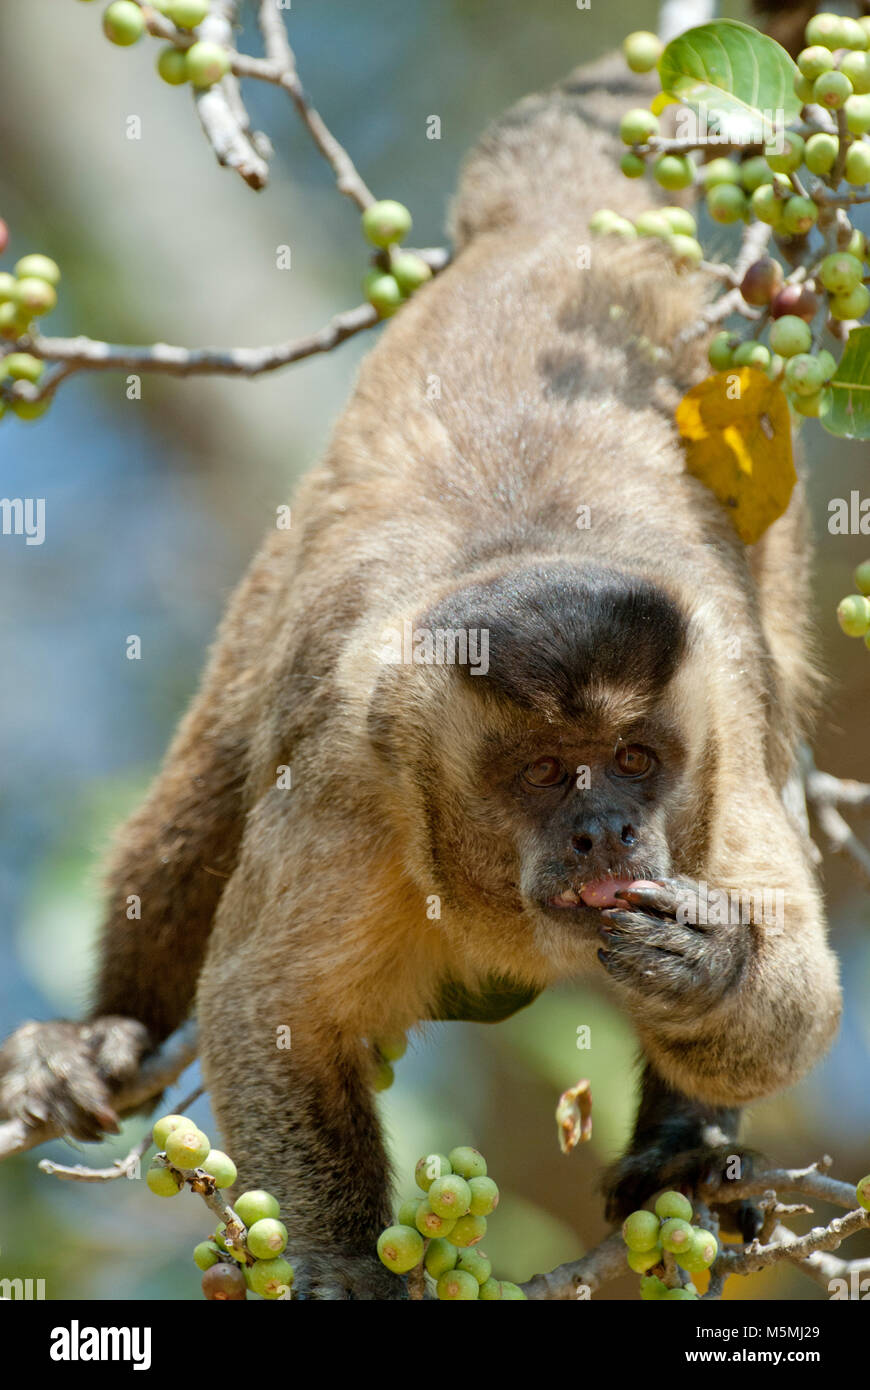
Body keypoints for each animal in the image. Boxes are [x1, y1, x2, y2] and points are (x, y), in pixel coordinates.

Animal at [0, 27, 839, 1295]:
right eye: (545, 774)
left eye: (637, 762)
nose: (607, 830)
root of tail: (558, 237)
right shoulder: (351, 771)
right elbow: (266, 1008)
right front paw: (344, 1259)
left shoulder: (723, 736)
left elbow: (803, 995)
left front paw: (710, 966)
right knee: (209, 781)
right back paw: (105, 1033)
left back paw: (687, 1157)